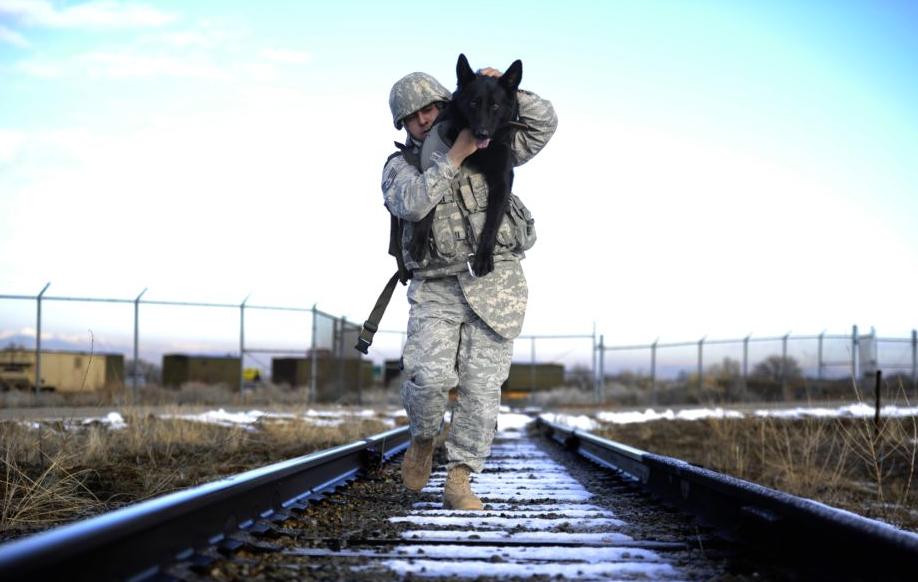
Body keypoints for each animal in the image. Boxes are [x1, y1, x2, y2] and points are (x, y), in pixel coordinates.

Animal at [412, 53, 524, 278]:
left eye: (495, 106)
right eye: (473, 103)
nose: (482, 133)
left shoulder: (502, 179)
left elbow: (493, 220)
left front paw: (483, 257)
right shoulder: (432, 163)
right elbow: (428, 204)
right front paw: (419, 241)